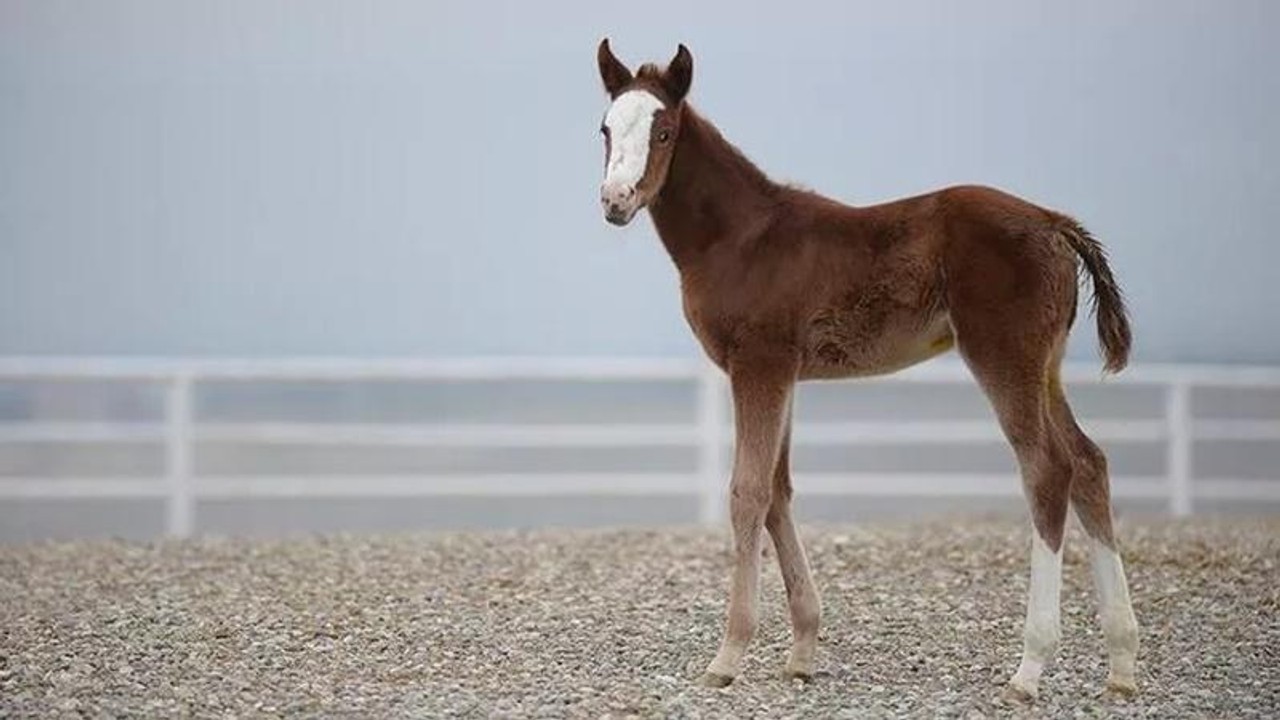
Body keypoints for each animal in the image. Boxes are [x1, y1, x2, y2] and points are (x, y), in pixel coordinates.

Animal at [596, 40, 1141, 702]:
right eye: (604, 129)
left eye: (664, 132)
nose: (615, 201)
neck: (739, 239)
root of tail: (1054, 222)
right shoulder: (786, 374)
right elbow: (779, 491)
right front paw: (802, 650)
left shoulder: (758, 363)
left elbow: (748, 492)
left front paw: (729, 655)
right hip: (1046, 369)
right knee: (1089, 463)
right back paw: (1122, 663)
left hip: (1003, 357)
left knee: (1047, 470)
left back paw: (1031, 666)